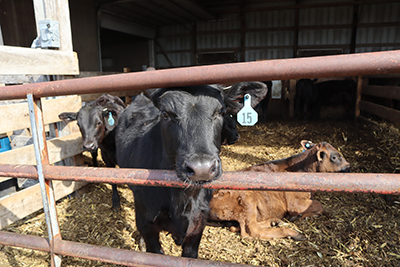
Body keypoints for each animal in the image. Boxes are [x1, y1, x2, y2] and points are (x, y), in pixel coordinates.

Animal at [209, 141, 350, 242]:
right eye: (335, 157)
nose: (349, 167)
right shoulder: (295, 204)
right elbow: (319, 205)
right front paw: (298, 216)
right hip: (247, 201)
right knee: (251, 230)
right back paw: (293, 233)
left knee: (239, 226)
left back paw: (274, 221)